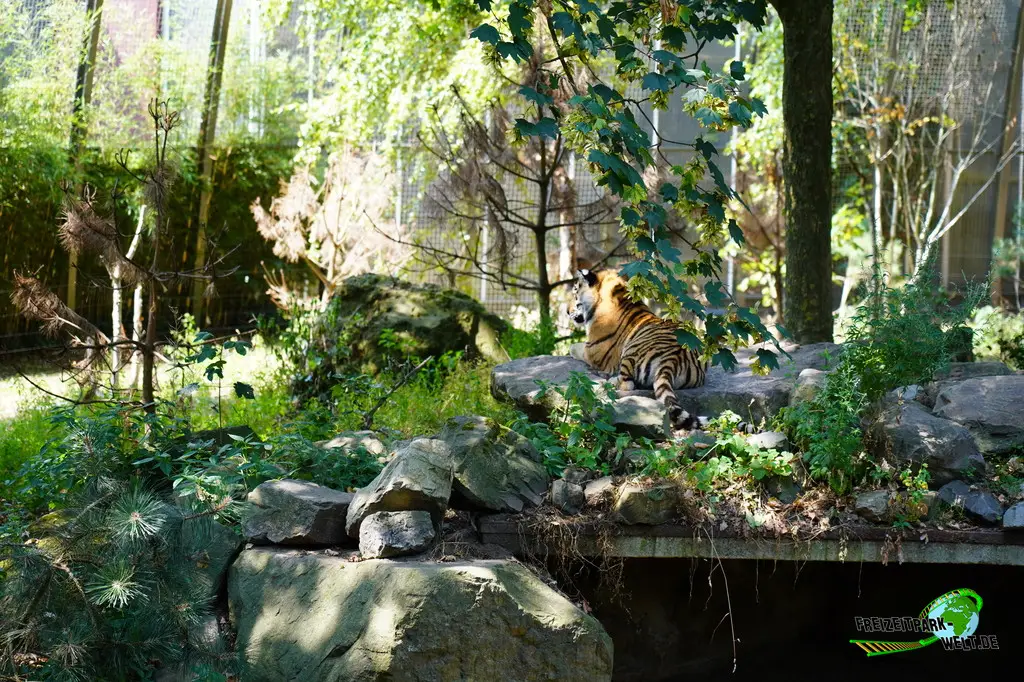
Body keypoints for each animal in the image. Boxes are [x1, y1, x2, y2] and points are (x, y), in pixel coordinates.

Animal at [567, 267, 708, 430]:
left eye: (575, 293)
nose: (567, 311)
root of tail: (673, 360)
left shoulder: (593, 350)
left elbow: (574, 347)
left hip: (631, 350)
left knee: (627, 384)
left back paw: (607, 382)